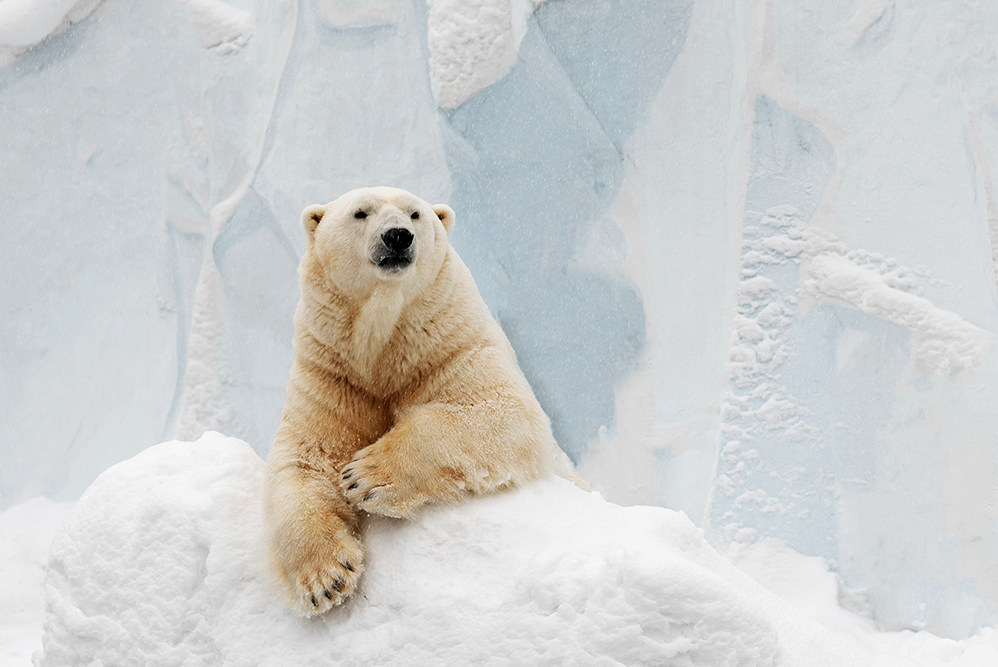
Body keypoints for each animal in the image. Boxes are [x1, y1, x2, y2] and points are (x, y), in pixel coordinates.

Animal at [264, 187, 584, 616]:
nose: (398, 236)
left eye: (415, 214)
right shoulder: (332, 376)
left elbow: (508, 411)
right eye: (360, 212)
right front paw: (325, 579)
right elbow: (304, 459)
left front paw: (365, 475)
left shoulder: (450, 349)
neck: (385, 350)